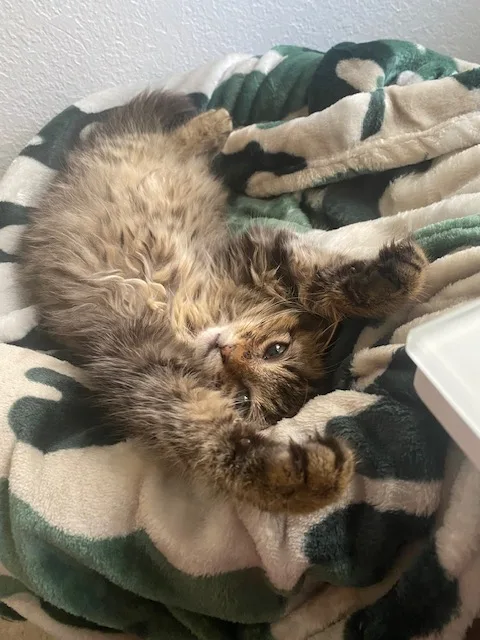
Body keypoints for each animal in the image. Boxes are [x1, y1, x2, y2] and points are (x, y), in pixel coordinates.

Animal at [19, 92, 428, 516]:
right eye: (276, 349)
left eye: (244, 398)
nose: (225, 350)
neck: (191, 323)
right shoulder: (252, 256)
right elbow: (318, 276)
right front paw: (393, 280)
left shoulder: (147, 376)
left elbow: (215, 440)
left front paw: (294, 478)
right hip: (132, 153)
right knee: (164, 137)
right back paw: (217, 120)